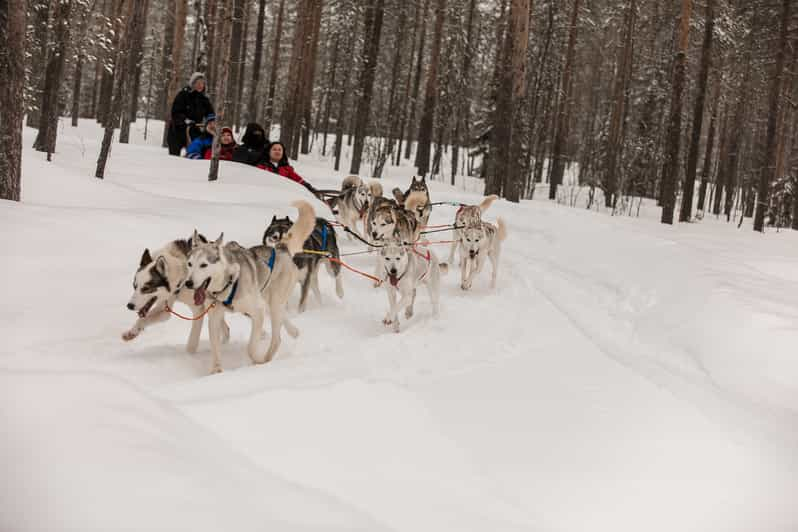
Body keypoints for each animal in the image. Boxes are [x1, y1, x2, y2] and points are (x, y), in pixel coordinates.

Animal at [185, 201, 316, 374]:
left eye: (204, 265)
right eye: (190, 264)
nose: (188, 283)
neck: (229, 282)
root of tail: (280, 248)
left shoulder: (257, 311)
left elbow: (251, 347)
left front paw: (257, 360)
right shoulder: (214, 317)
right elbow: (215, 348)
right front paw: (216, 371)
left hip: (273, 302)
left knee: (277, 338)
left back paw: (267, 358)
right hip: (268, 300)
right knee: (282, 318)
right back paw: (293, 331)